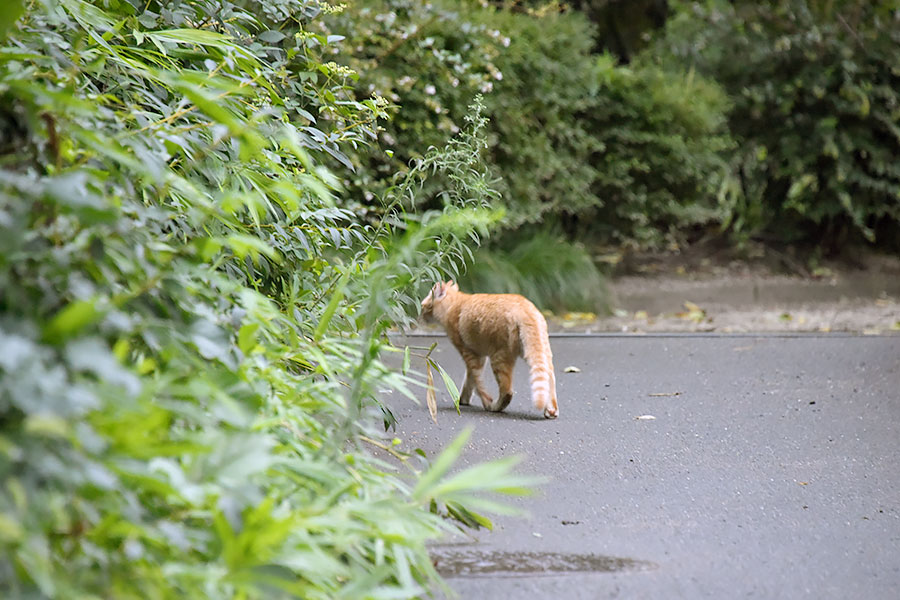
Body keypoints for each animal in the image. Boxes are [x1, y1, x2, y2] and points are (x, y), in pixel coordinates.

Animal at [420, 282, 556, 420]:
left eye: (422, 305)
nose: (420, 315)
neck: (453, 304)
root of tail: (526, 309)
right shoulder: (478, 356)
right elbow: (469, 380)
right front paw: (463, 399)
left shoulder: (470, 354)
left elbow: (477, 383)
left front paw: (484, 401)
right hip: (539, 354)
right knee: (549, 379)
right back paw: (551, 411)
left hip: (499, 358)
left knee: (507, 392)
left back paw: (494, 407)